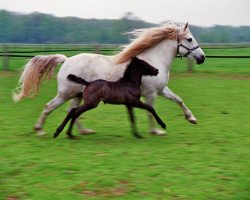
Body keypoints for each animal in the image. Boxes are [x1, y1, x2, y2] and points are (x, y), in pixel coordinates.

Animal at [12, 21, 205, 136]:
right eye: (189, 39)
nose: (202, 58)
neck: (151, 60)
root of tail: (66, 60)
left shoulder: (162, 90)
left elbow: (178, 100)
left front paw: (192, 119)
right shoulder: (151, 94)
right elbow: (150, 110)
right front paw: (156, 131)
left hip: (79, 95)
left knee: (72, 111)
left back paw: (84, 131)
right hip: (66, 94)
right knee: (50, 107)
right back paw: (40, 130)